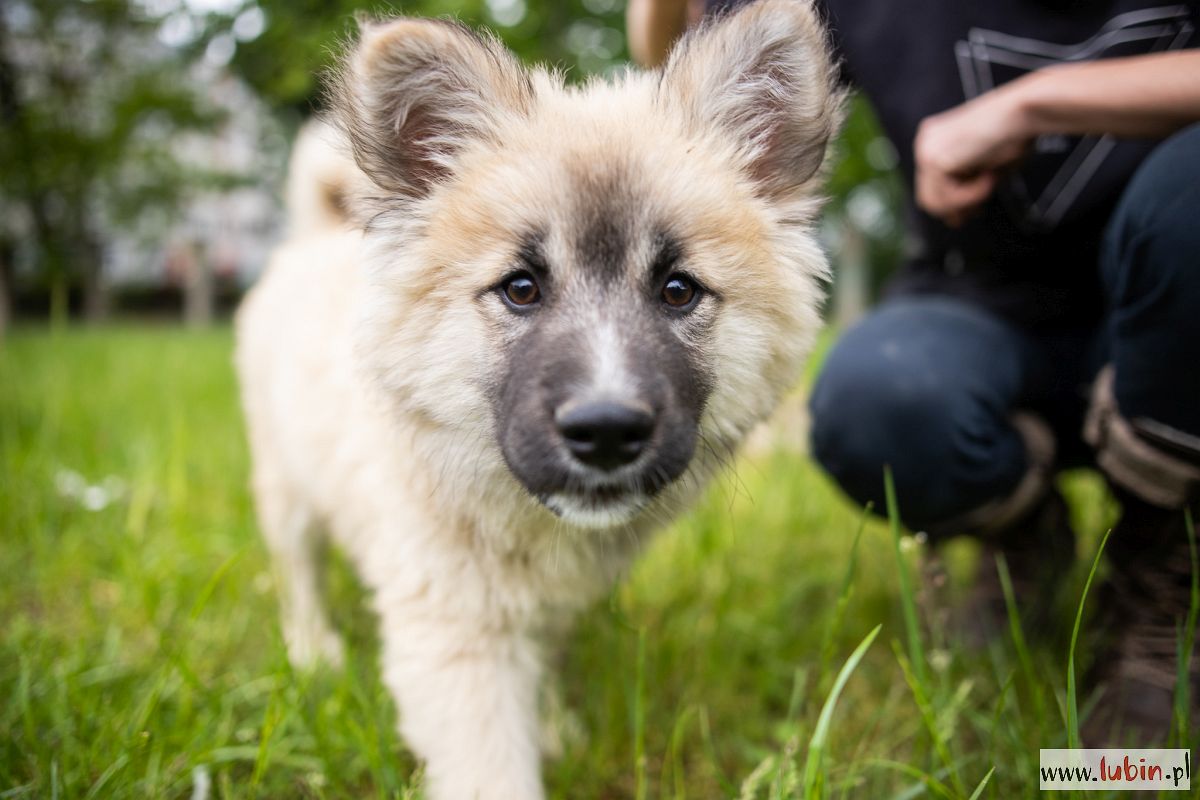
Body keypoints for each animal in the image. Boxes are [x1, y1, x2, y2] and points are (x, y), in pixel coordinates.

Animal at [236, 3, 844, 796]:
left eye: (678, 290)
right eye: (520, 288)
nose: (607, 430)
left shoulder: (545, 601)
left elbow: (543, 662)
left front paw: (554, 728)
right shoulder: (454, 630)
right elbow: (489, 763)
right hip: (285, 485)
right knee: (296, 570)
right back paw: (314, 652)